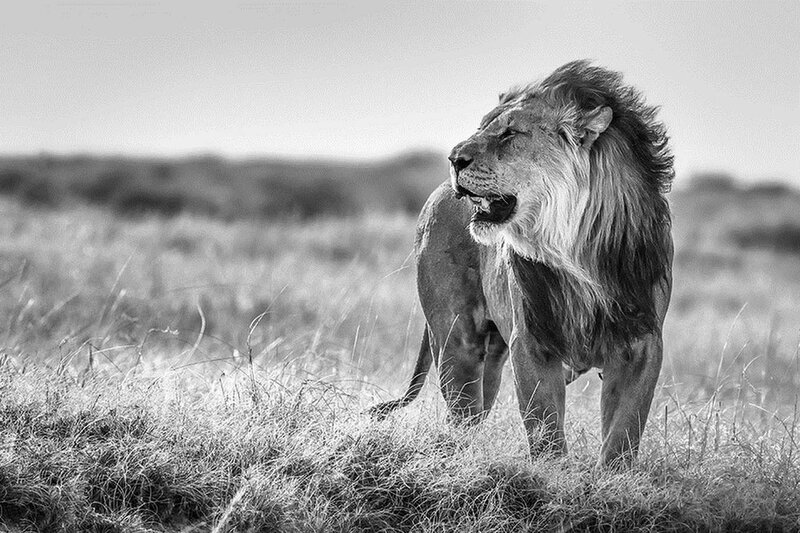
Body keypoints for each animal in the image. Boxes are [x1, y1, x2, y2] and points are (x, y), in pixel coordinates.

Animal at [370, 60, 674, 467]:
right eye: (483, 126)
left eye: (510, 133)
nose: (453, 159)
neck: (577, 251)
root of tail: (436, 193)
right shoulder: (531, 341)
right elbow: (545, 428)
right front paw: (553, 476)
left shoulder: (642, 344)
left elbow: (624, 432)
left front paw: (615, 479)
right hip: (457, 340)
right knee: (462, 414)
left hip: (493, 359)